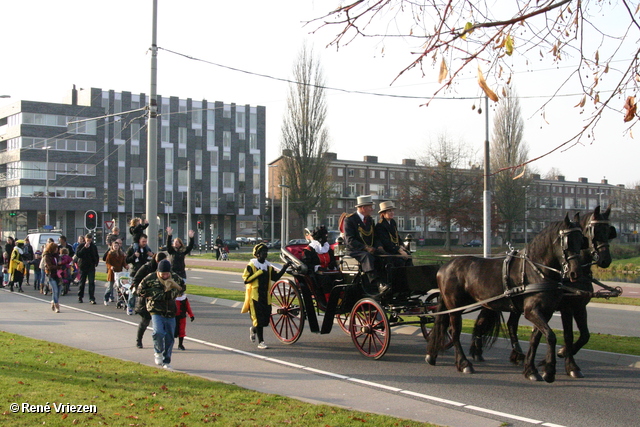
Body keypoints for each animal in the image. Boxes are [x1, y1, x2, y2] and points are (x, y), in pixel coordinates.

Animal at [424, 214, 584, 384]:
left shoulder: (545, 312)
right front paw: (549, 371)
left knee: (443, 325)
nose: (575, 273)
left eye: (581, 240)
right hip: (455, 305)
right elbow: (551, 336)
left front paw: (531, 370)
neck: (536, 270)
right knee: (454, 332)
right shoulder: (532, 312)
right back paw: (463, 363)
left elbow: (536, 338)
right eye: (567, 241)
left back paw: (432, 355)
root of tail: (444, 267)